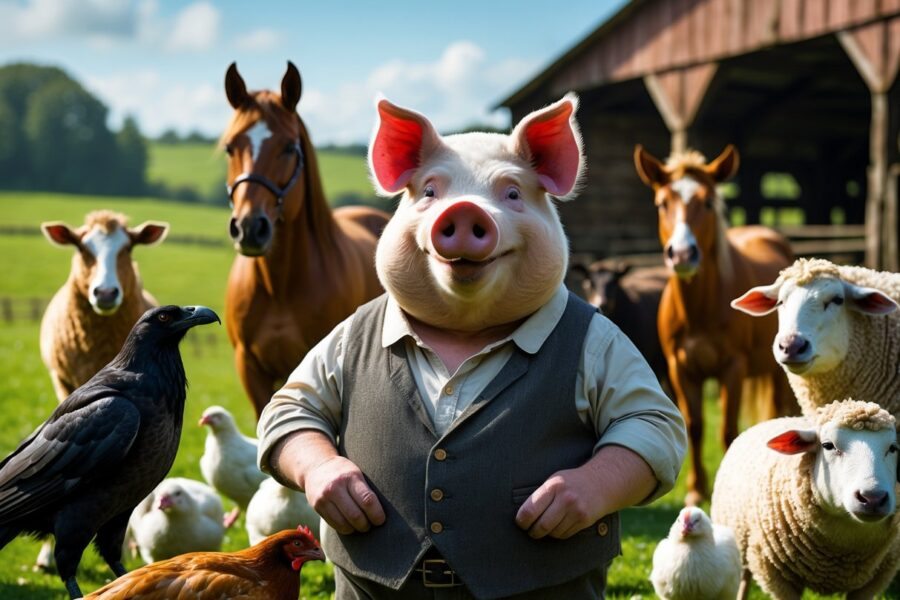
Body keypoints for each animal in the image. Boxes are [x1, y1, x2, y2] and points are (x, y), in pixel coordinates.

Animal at [257, 94, 686, 599]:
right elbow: (291, 406)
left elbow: (650, 425)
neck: (465, 334)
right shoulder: (338, 339)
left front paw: (548, 509)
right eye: (429, 192)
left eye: (512, 194)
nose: (463, 211)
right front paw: (350, 499)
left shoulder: (613, 349)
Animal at [634, 145, 796, 504]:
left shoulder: (732, 368)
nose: (682, 254)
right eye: (662, 203)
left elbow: (727, 429)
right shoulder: (680, 369)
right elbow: (695, 427)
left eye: (708, 202)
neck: (699, 311)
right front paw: (696, 490)